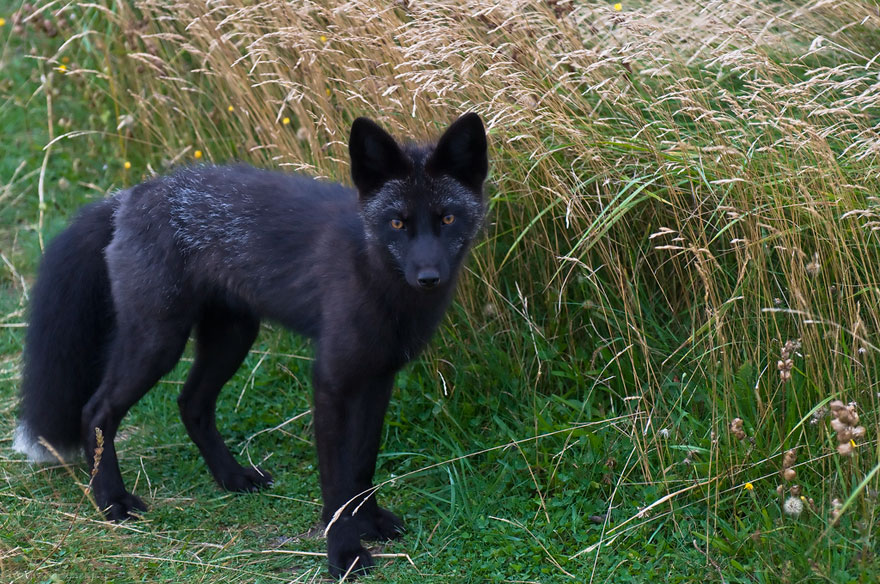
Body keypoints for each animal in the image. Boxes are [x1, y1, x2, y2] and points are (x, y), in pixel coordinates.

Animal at [13, 112, 488, 578]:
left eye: (447, 219)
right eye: (397, 222)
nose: (429, 277)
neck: (377, 281)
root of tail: (129, 196)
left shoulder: (378, 380)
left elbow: (362, 466)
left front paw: (369, 522)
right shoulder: (331, 383)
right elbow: (336, 487)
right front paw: (345, 554)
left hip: (233, 337)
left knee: (191, 403)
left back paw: (232, 478)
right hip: (158, 343)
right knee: (96, 411)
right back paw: (112, 501)